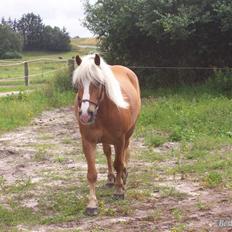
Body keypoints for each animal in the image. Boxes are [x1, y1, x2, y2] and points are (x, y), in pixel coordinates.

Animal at [72, 53, 141, 216]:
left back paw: (123, 176)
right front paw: (92, 204)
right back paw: (110, 179)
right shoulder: (88, 142)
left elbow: (118, 163)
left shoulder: (120, 140)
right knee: (108, 153)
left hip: (128, 133)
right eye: (78, 84)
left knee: (124, 152)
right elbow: (92, 173)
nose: (85, 115)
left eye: (98, 83)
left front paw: (119, 190)